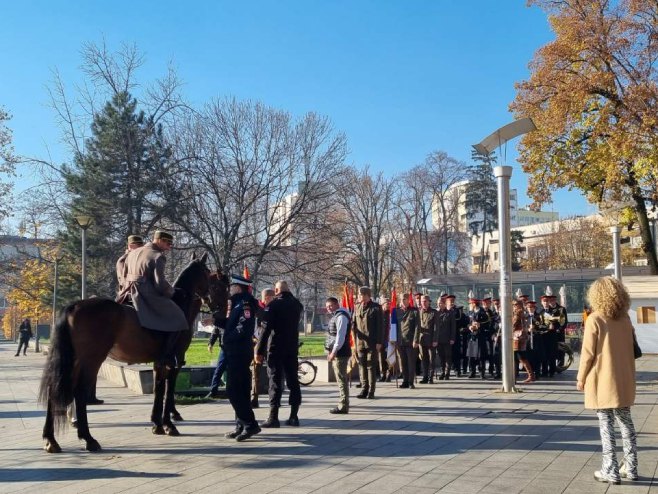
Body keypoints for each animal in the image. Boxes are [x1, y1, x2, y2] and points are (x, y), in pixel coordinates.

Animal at [39, 253, 228, 454]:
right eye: (219, 284)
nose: (222, 310)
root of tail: (73, 306)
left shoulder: (159, 362)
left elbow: (158, 389)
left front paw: (157, 423)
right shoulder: (174, 360)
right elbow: (168, 390)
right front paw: (169, 424)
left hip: (74, 360)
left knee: (54, 389)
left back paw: (51, 439)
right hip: (91, 360)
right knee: (79, 392)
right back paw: (88, 438)